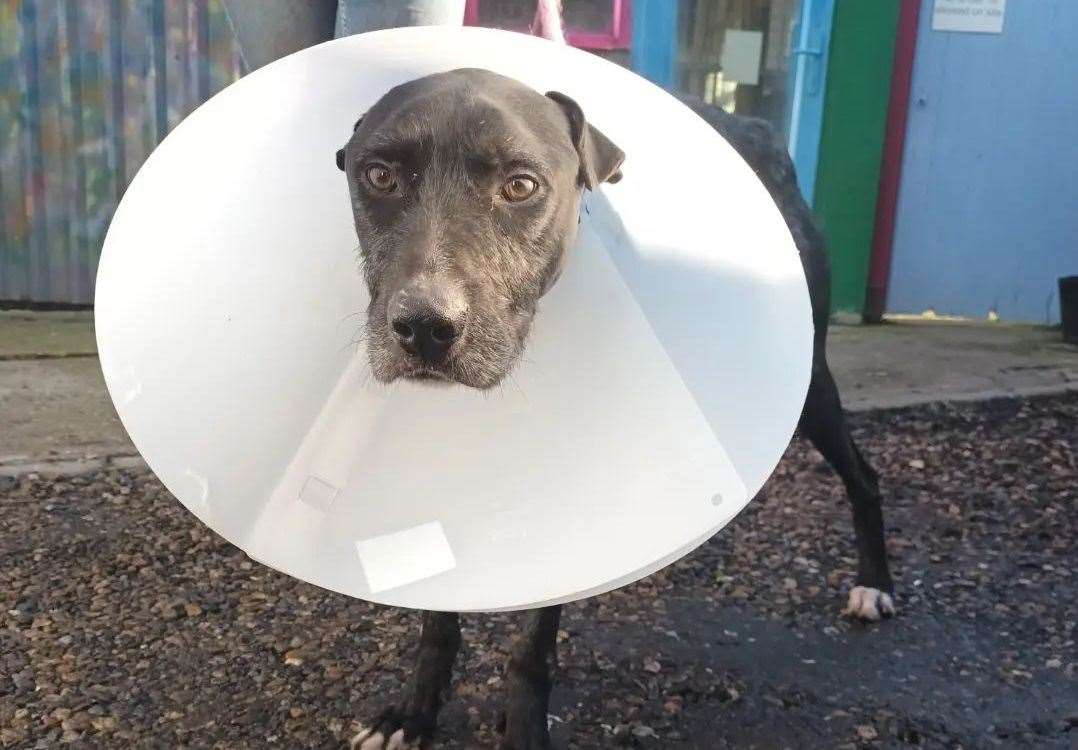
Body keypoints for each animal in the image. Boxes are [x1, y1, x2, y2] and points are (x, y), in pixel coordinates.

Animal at [336, 67, 892, 745]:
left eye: (521, 185)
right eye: (379, 176)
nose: (423, 327)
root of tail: (759, 130)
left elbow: (531, 647)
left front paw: (524, 730)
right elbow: (438, 617)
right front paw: (414, 714)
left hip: (809, 382)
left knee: (862, 476)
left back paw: (874, 586)